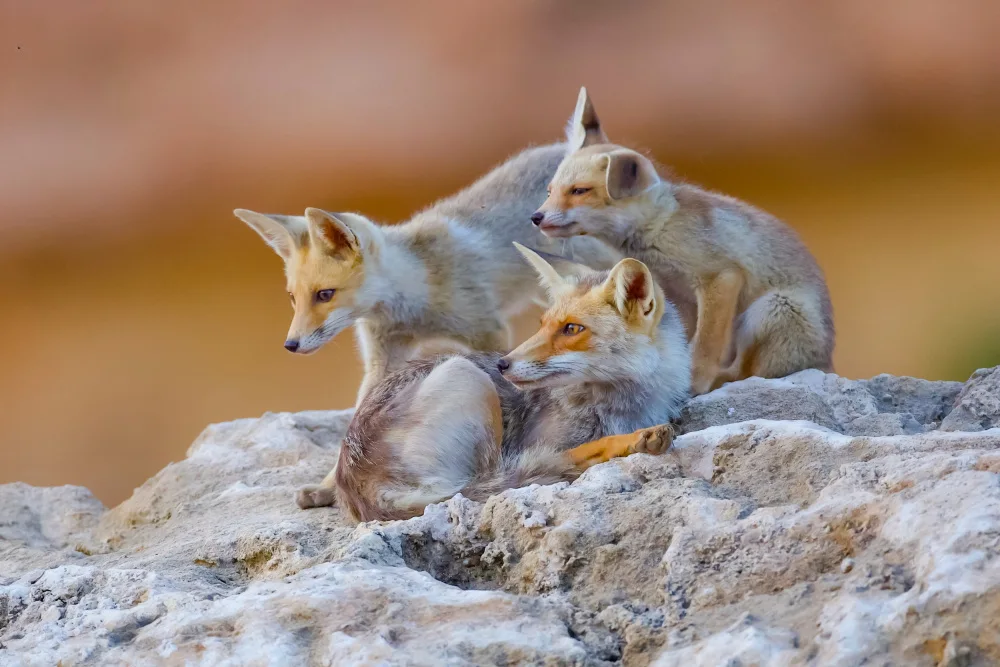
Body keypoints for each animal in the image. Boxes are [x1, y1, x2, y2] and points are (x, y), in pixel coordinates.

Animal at [235, 145, 619, 404]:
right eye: (292, 298)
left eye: (324, 295)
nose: (290, 345)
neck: (413, 305)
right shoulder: (384, 356)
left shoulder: (488, 330)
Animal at [296, 245, 691, 521]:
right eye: (542, 324)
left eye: (571, 329)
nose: (502, 363)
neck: (617, 405)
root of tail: (356, 485)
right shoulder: (537, 443)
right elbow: (565, 454)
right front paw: (631, 440)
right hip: (467, 379)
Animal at [531, 87, 835, 395]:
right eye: (550, 191)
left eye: (579, 191)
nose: (536, 217)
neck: (660, 228)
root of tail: (827, 362)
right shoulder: (675, 296)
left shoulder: (720, 277)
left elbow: (704, 346)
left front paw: (694, 384)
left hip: (770, 309)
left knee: (749, 372)